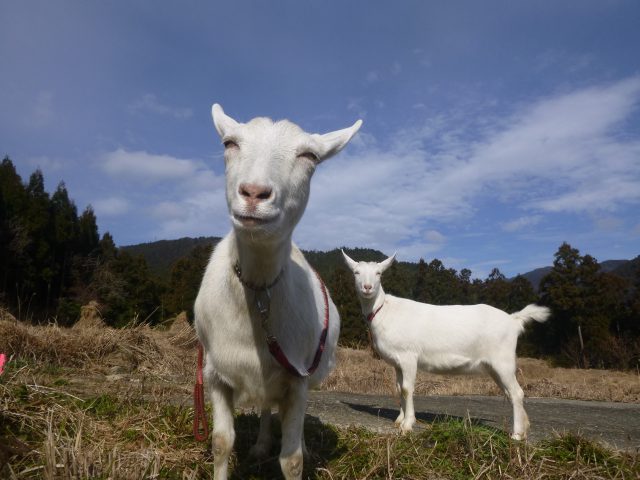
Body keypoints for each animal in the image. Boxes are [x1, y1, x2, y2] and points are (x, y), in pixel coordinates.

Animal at [192, 106, 362, 480]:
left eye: (309, 156)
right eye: (229, 143)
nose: (254, 193)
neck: (258, 293)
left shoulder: (297, 376)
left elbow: (292, 459)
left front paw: (298, 454)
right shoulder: (214, 374)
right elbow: (221, 442)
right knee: (267, 407)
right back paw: (260, 445)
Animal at [340, 249, 552, 440]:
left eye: (379, 273)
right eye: (356, 272)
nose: (367, 287)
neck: (384, 311)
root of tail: (513, 320)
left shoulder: (409, 356)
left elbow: (408, 388)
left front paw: (407, 425)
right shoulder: (398, 362)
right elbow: (399, 388)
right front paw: (399, 420)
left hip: (503, 360)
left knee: (517, 393)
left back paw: (516, 435)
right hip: (494, 366)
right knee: (510, 393)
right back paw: (524, 428)